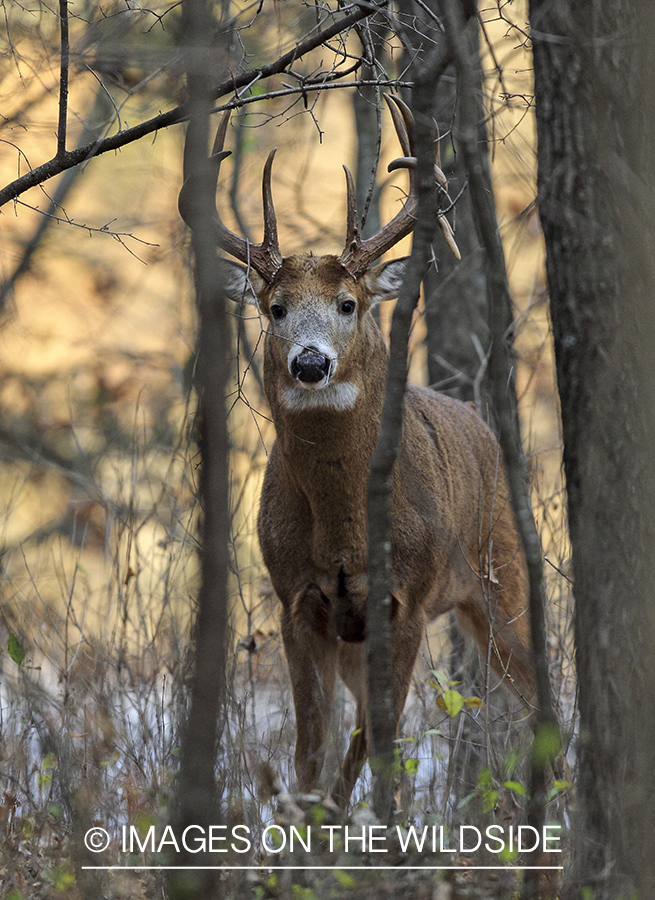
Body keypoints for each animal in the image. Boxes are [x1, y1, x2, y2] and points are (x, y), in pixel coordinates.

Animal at [178, 96, 532, 808]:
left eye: (348, 303)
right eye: (275, 307)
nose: (311, 363)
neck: (344, 533)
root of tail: (479, 424)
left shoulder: (407, 599)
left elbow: (383, 740)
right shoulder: (296, 599)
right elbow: (311, 752)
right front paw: (315, 823)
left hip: (500, 573)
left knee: (542, 696)